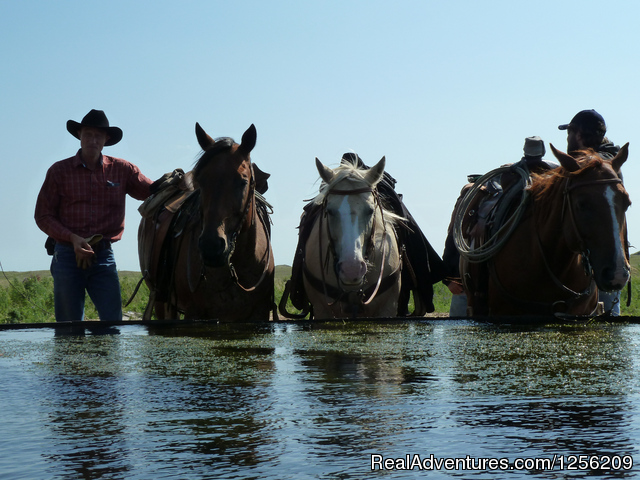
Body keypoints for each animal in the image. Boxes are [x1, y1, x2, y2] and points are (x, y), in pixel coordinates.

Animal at [139, 124, 274, 320]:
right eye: (200, 181)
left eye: (243, 181)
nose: (211, 246)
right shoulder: (194, 312)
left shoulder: (260, 313)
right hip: (160, 300)